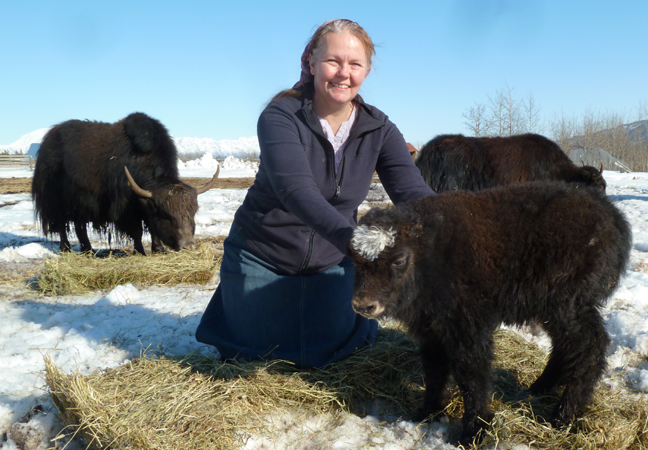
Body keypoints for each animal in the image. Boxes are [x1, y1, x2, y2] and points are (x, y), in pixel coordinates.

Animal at [32, 112, 219, 255]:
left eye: (194, 212)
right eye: (166, 215)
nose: (189, 246)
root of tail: (46, 140)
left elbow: (152, 227)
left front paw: (158, 250)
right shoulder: (126, 208)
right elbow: (137, 231)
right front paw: (140, 252)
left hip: (80, 205)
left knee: (80, 226)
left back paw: (89, 250)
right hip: (57, 201)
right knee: (62, 224)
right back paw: (67, 249)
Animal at [349, 181, 631, 445]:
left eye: (398, 261)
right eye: (355, 262)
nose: (363, 305)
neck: (432, 252)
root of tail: (609, 214)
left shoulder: (467, 329)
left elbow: (472, 374)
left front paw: (473, 432)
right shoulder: (432, 330)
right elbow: (434, 369)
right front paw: (428, 413)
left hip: (568, 307)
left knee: (590, 347)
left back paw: (563, 416)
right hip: (554, 311)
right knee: (566, 347)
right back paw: (539, 389)